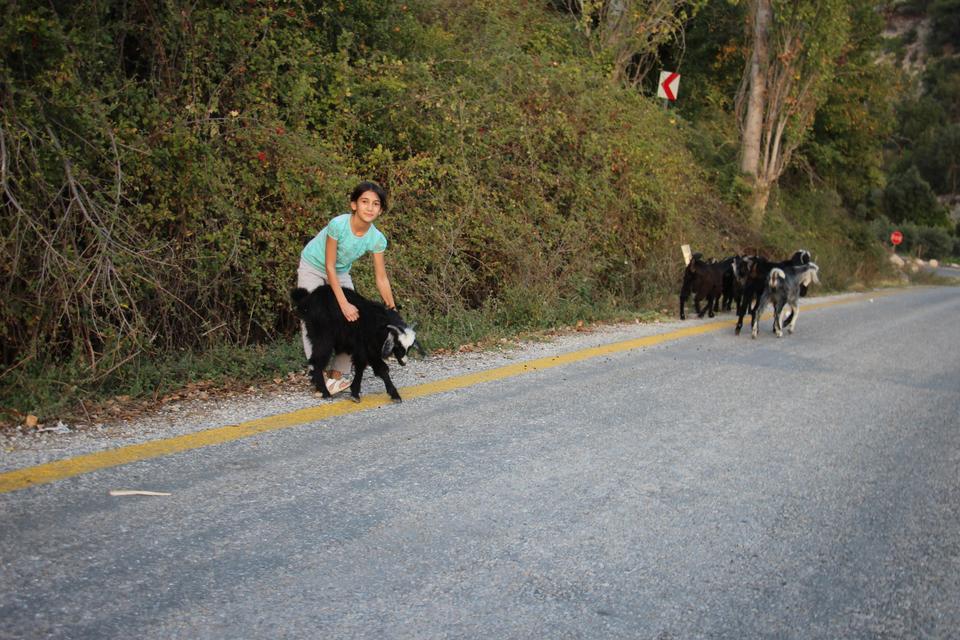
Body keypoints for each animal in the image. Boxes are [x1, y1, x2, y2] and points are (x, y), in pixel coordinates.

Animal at [288, 286, 416, 402]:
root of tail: (308, 300)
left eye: (409, 347)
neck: (379, 325)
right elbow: (373, 368)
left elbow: (372, 368)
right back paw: (325, 393)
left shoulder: (370, 350)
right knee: (316, 362)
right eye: (398, 345)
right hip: (323, 339)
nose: (404, 362)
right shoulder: (365, 348)